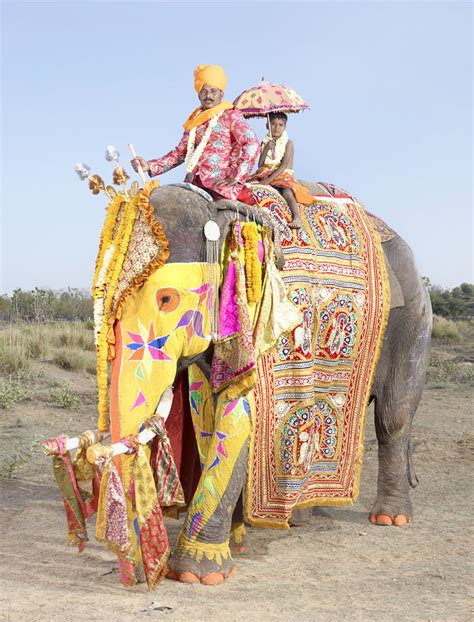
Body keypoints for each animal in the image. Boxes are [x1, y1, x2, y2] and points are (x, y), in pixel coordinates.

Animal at [61, 179, 432, 588]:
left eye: (167, 298)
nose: (141, 576)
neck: (218, 209)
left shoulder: (267, 319)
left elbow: (240, 417)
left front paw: (198, 574)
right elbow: (209, 415)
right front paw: (229, 543)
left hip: (415, 321)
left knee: (393, 418)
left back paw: (390, 518)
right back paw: (298, 518)